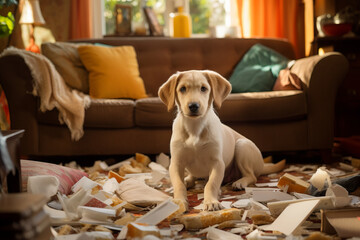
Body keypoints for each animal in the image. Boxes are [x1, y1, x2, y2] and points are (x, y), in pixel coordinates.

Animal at [159, 70, 286, 211]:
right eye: (182, 89)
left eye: (203, 88)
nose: (193, 106)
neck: (195, 128)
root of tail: (262, 165)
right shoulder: (176, 163)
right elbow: (178, 184)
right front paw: (179, 202)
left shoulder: (217, 163)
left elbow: (211, 184)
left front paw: (211, 201)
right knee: (192, 177)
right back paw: (187, 180)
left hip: (242, 146)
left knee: (252, 176)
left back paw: (239, 182)